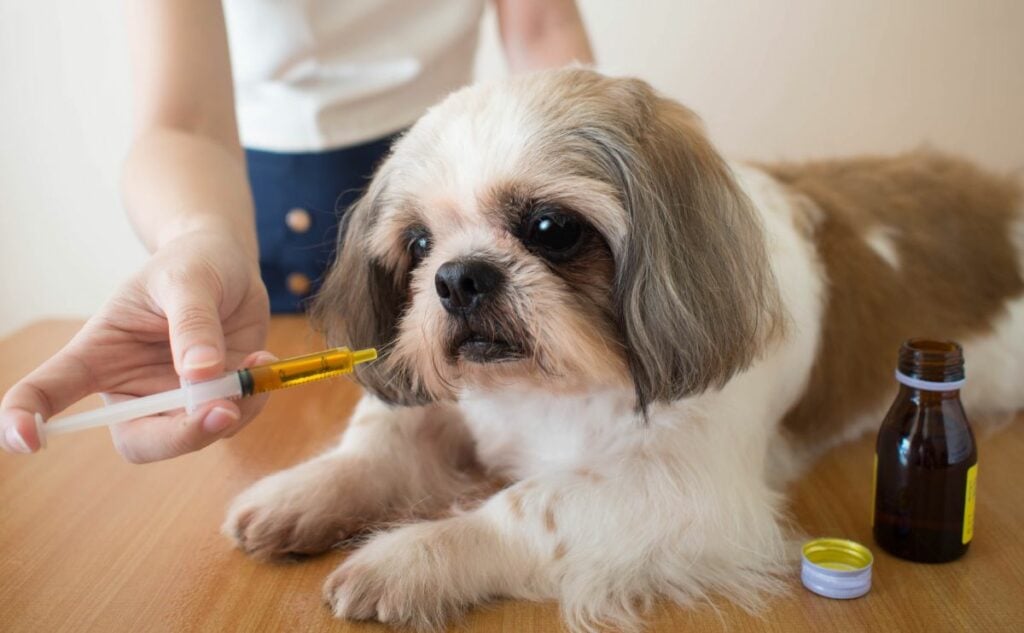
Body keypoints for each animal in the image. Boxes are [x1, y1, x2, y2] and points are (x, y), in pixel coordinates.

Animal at [224, 66, 1024, 626]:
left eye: (551, 229)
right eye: (418, 245)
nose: (458, 277)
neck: (551, 392)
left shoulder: (686, 492)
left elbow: (529, 506)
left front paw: (408, 556)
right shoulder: (449, 404)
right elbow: (381, 443)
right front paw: (307, 492)